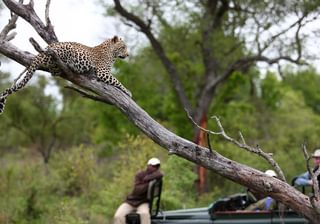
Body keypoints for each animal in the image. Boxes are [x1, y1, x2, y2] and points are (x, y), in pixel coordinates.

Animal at [0, 36, 131, 114]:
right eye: (123, 47)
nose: (128, 55)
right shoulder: (103, 72)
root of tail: (44, 50)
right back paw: (66, 66)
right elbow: (117, 81)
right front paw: (128, 92)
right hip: (65, 50)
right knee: (53, 67)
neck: (112, 53)